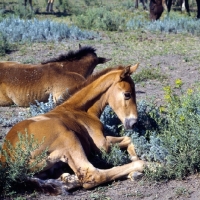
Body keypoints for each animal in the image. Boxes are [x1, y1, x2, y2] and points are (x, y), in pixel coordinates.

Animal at [0, 63, 144, 194]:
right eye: (127, 94)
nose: (133, 123)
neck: (79, 110)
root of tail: (8, 156)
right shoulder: (102, 145)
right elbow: (126, 140)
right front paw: (136, 161)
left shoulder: (103, 138)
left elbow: (128, 139)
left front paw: (133, 157)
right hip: (68, 138)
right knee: (91, 175)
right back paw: (141, 166)